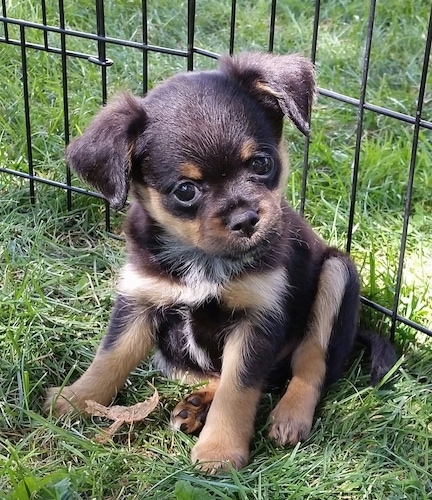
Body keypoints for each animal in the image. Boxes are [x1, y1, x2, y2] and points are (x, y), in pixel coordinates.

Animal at [45, 52, 396, 470]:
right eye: (185, 190)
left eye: (261, 164)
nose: (245, 219)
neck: (204, 260)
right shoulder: (139, 301)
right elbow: (109, 358)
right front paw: (72, 400)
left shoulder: (257, 319)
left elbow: (238, 388)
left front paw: (219, 450)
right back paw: (196, 405)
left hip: (336, 271)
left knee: (312, 360)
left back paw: (290, 415)